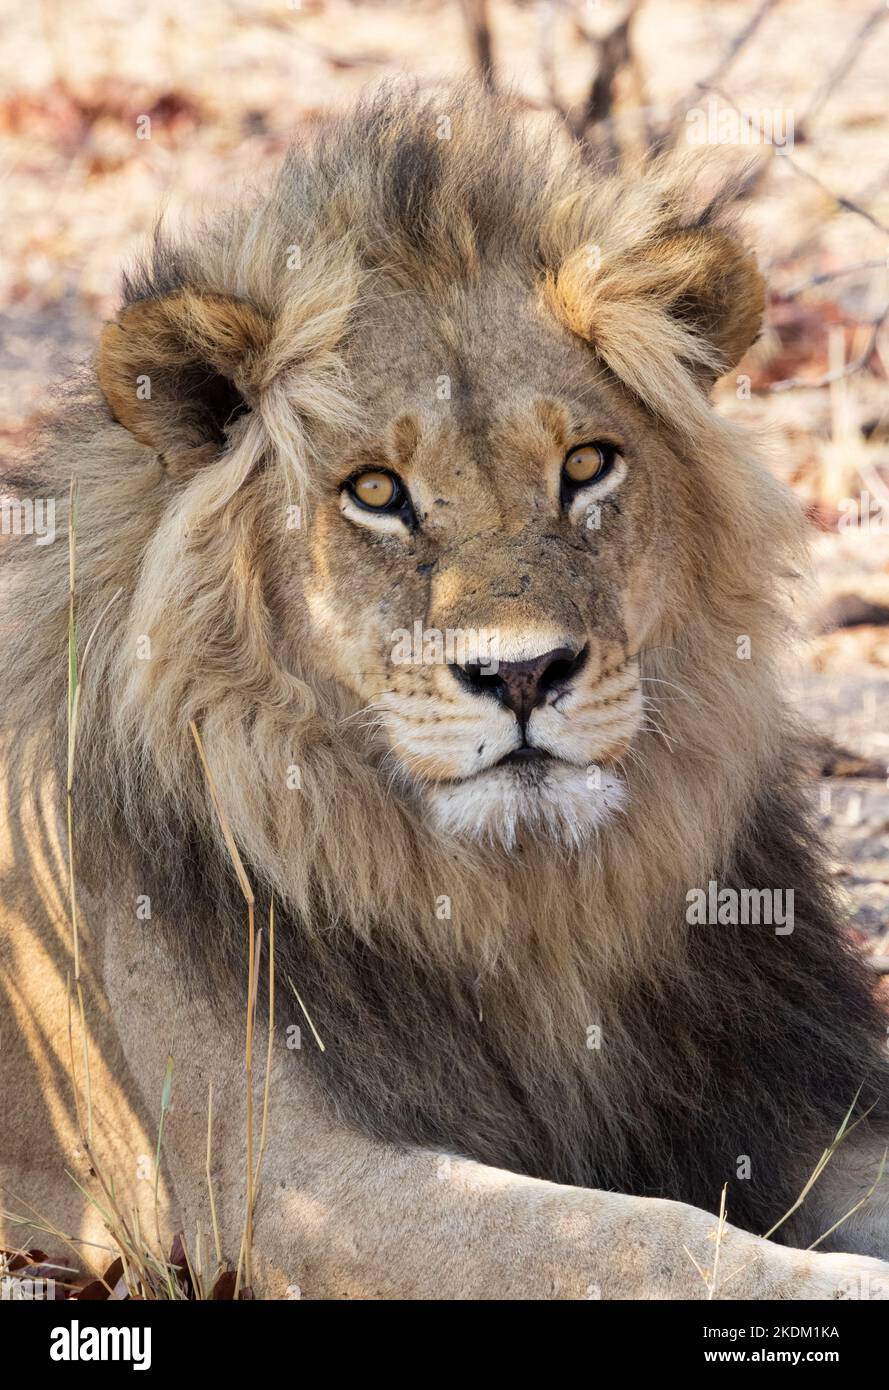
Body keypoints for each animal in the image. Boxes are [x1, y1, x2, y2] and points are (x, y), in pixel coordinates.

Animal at [1, 89, 889, 1301]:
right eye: (376, 491)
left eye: (586, 465)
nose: (521, 674)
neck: (520, 907)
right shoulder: (284, 1188)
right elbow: (636, 1236)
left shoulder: (779, 1105)